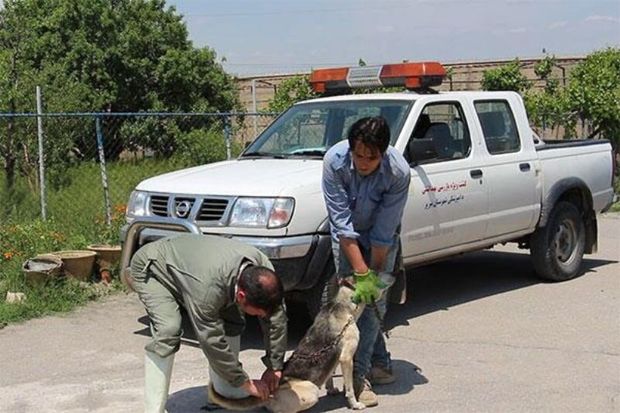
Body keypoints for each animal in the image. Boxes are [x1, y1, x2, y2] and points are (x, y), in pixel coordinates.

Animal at [208, 280, 366, 412]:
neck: (341, 304)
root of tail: (270, 394)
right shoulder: (346, 359)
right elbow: (350, 389)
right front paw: (355, 404)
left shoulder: (336, 356)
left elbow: (330, 374)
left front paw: (331, 389)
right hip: (311, 390)